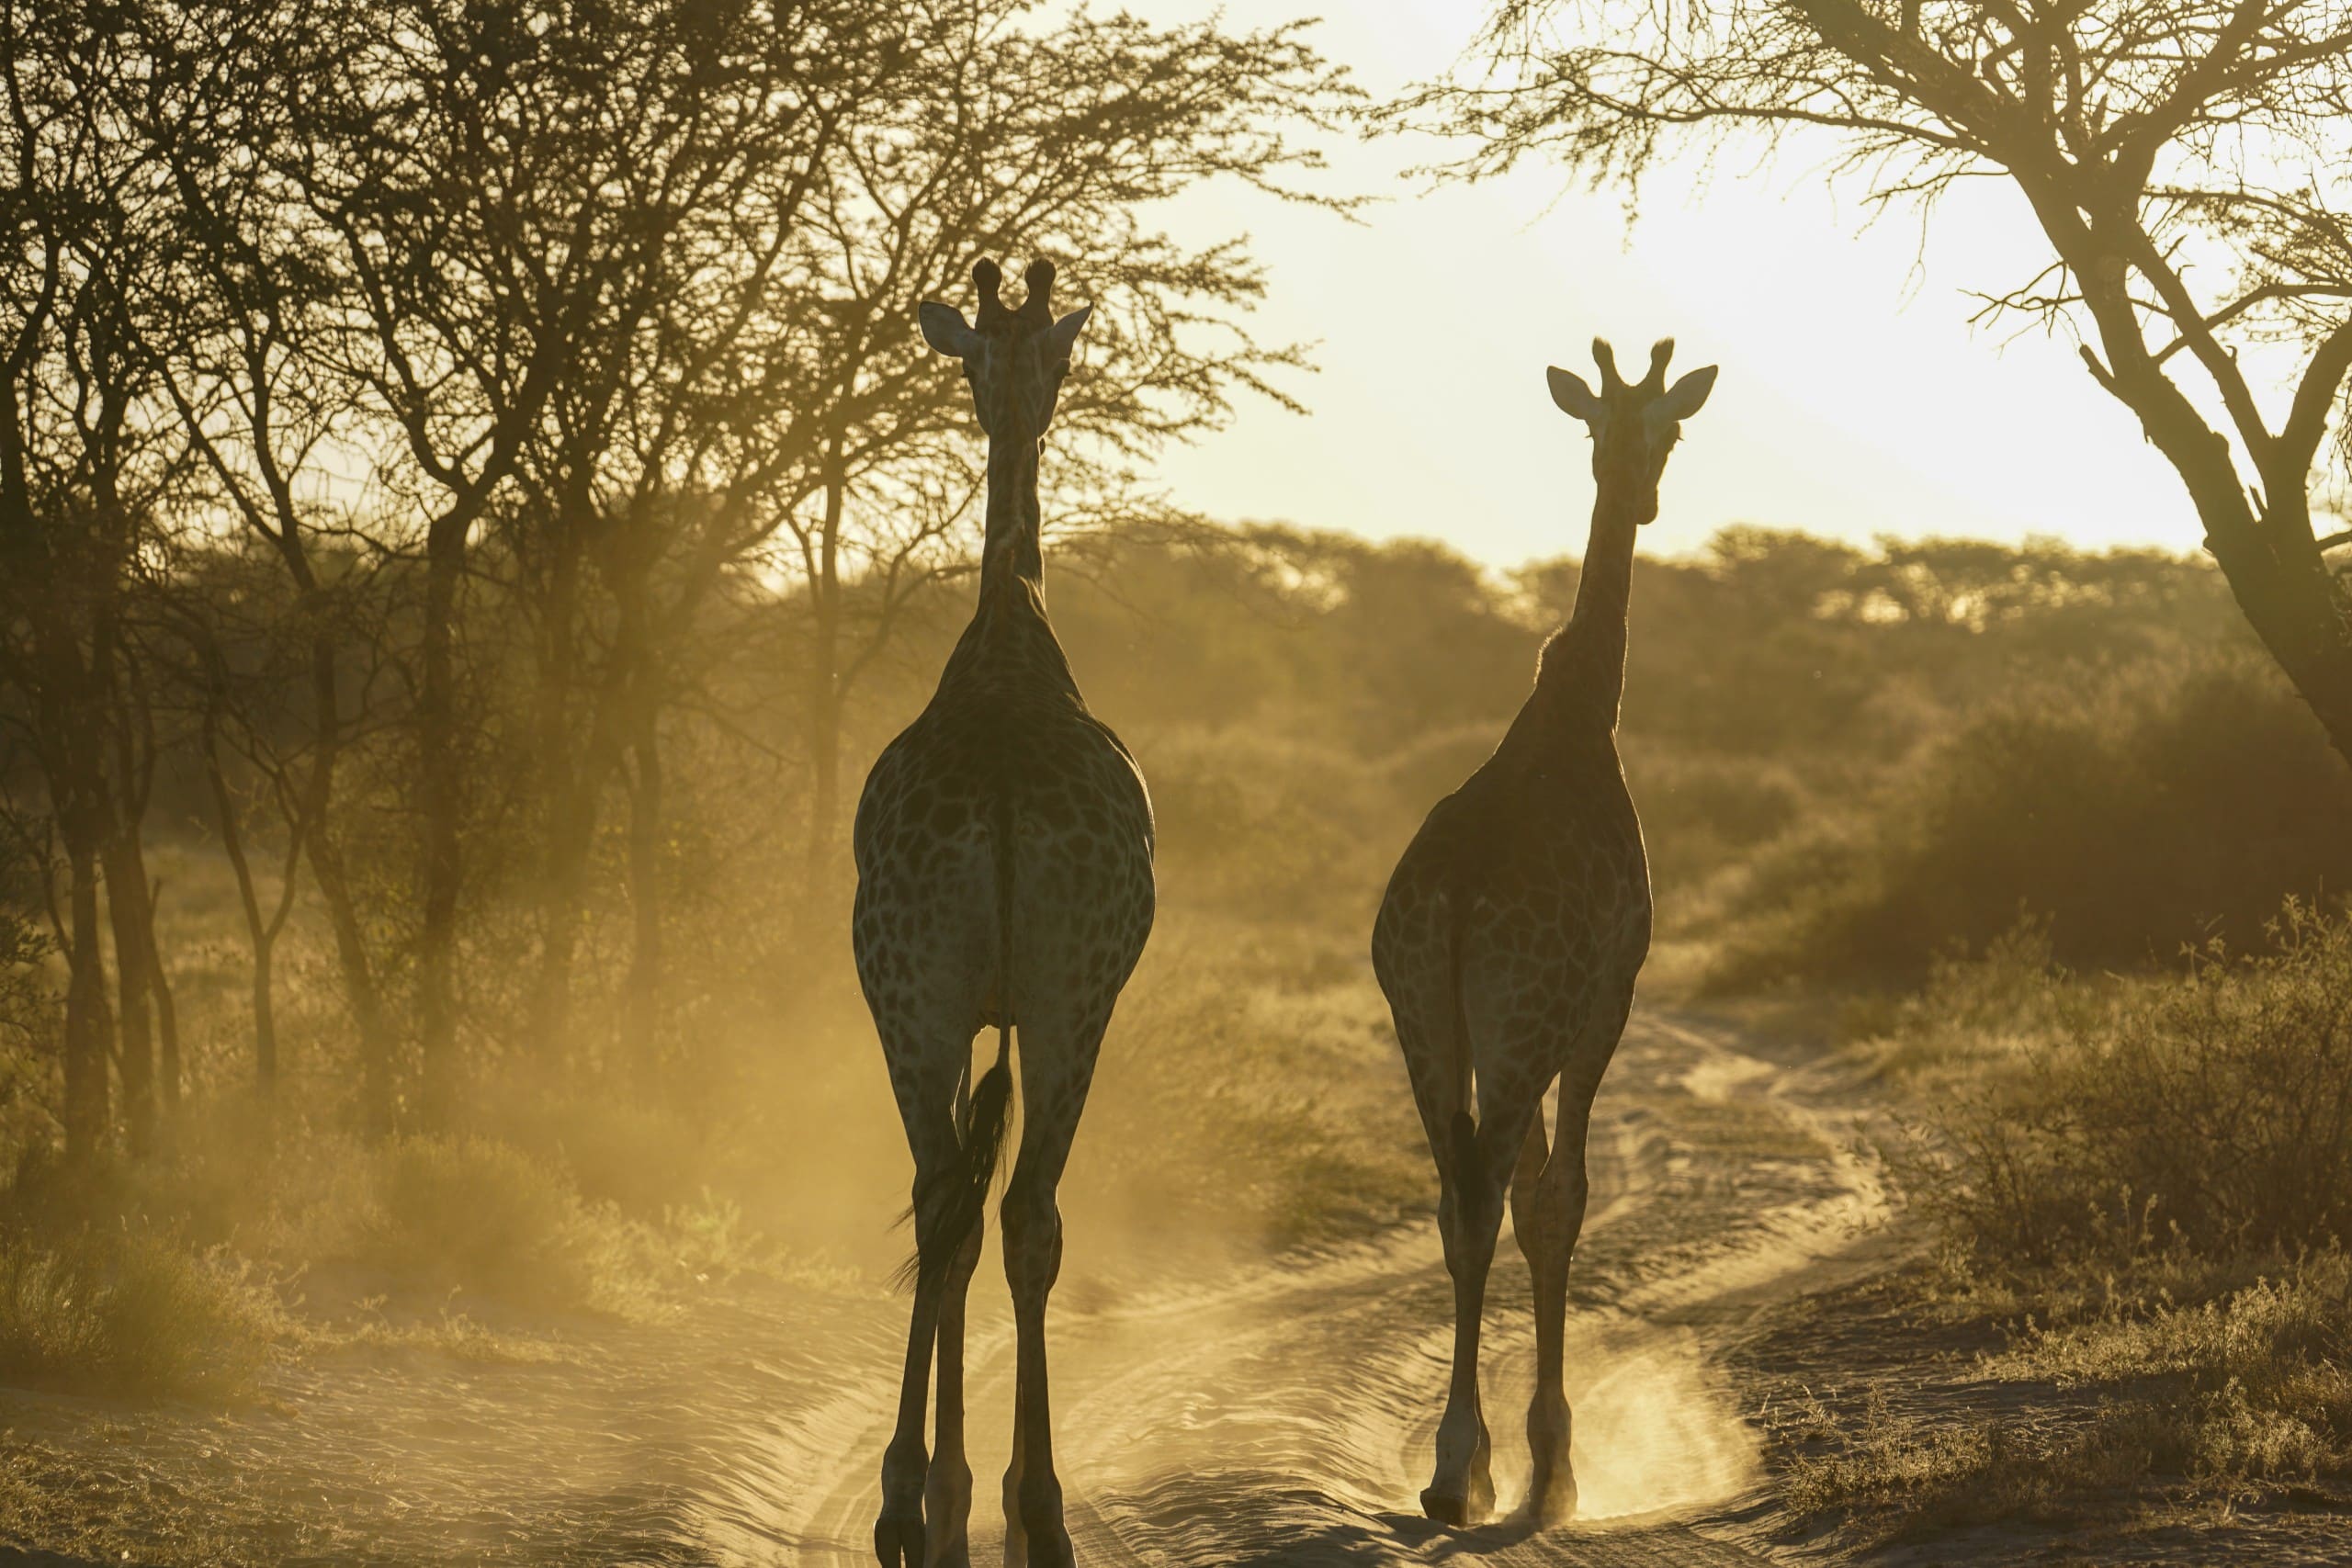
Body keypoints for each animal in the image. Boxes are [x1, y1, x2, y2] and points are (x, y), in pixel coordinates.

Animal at [1370, 337, 1715, 1528]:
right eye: (1663, 430)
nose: (1645, 491)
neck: (1579, 712)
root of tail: (1456, 894)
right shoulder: (1603, 1001)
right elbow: (1559, 1198)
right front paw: (1551, 1465)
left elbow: (1523, 1198)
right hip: (1520, 1022)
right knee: (1486, 1193)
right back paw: (1460, 1470)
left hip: (1423, 1017)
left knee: (1452, 1197)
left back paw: (1456, 1468)